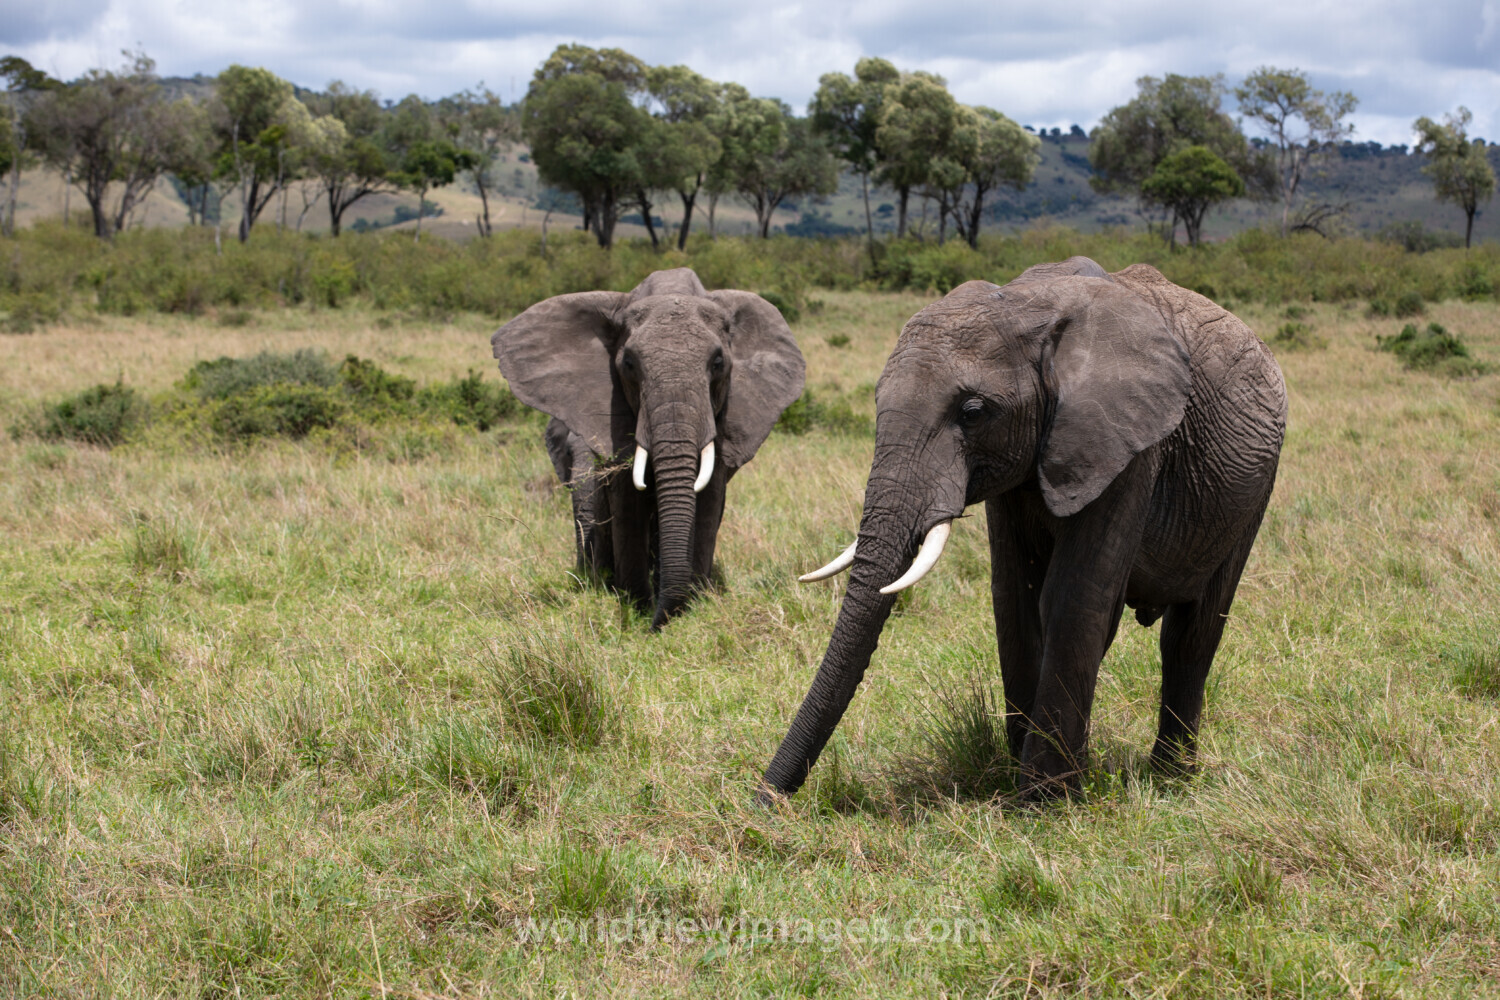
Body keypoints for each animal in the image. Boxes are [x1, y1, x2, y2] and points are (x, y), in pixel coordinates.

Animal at [492, 268, 805, 629]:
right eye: (628, 363)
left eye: (718, 363)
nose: (656, 623)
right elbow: (628, 500)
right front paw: (637, 603)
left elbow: (708, 497)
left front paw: (693, 605)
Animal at [760, 257, 1287, 801]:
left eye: (973, 413)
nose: (766, 798)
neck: (1029, 305)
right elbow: (1014, 595)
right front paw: (1028, 773)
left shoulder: (1129, 445)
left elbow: (1074, 596)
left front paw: (1042, 797)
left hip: (1253, 491)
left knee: (1192, 635)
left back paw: (1170, 777)